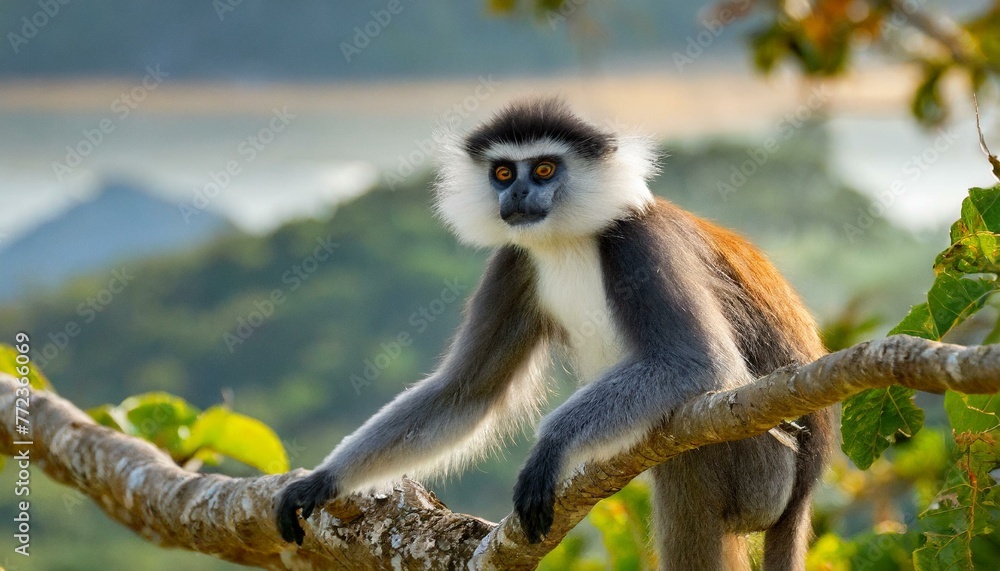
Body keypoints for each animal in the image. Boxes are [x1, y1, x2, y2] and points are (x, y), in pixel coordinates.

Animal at [276, 98, 835, 570]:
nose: (517, 192)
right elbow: (465, 392)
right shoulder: (514, 261)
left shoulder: (638, 239)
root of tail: (806, 484)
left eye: (544, 168)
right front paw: (321, 481)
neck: (568, 237)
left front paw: (549, 451)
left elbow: (696, 361)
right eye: (503, 172)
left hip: (763, 466)